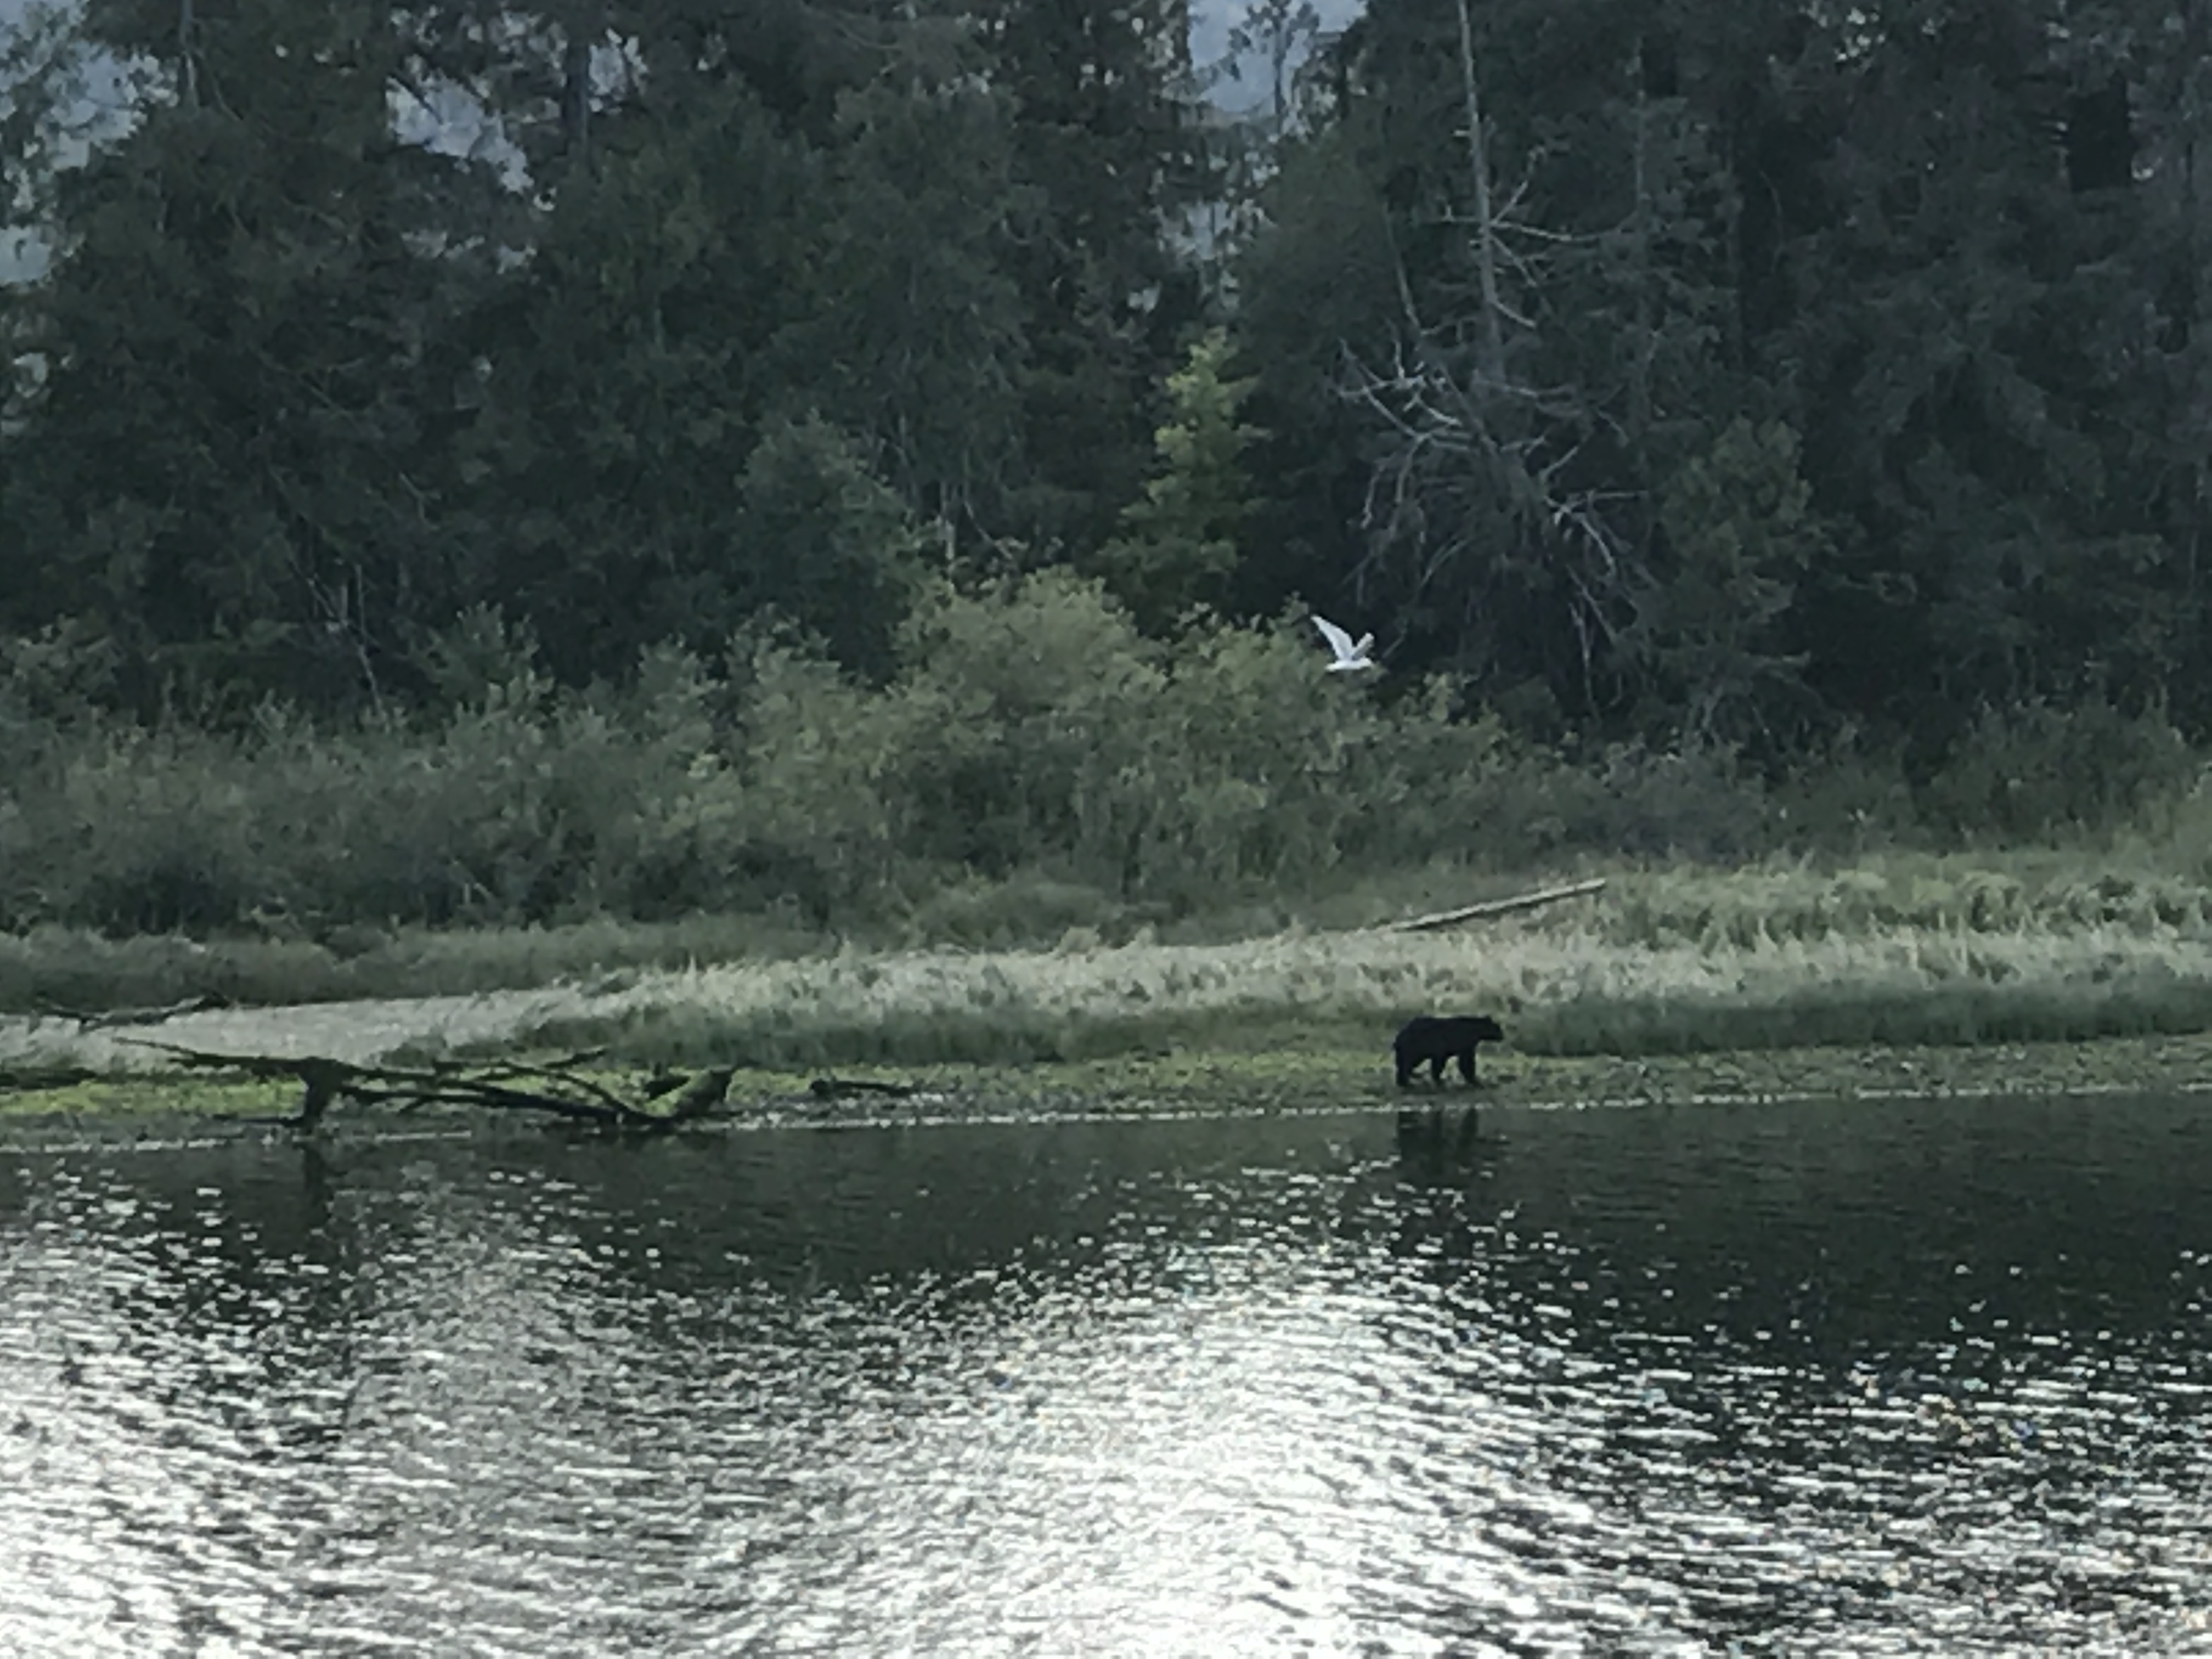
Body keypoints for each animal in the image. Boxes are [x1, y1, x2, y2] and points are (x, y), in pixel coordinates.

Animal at [1393, 1014, 1505, 1088]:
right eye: (1498, 1027)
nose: (1502, 1036)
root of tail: (1399, 1037)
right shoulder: (1463, 1044)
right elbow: (1465, 1063)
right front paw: (1475, 1081)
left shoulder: (1466, 1046)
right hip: (1414, 1048)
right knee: (1406, 1064)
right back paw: (1409, 1081)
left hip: (1413, 1051)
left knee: (1405, 1065)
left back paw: (1403, 1082)